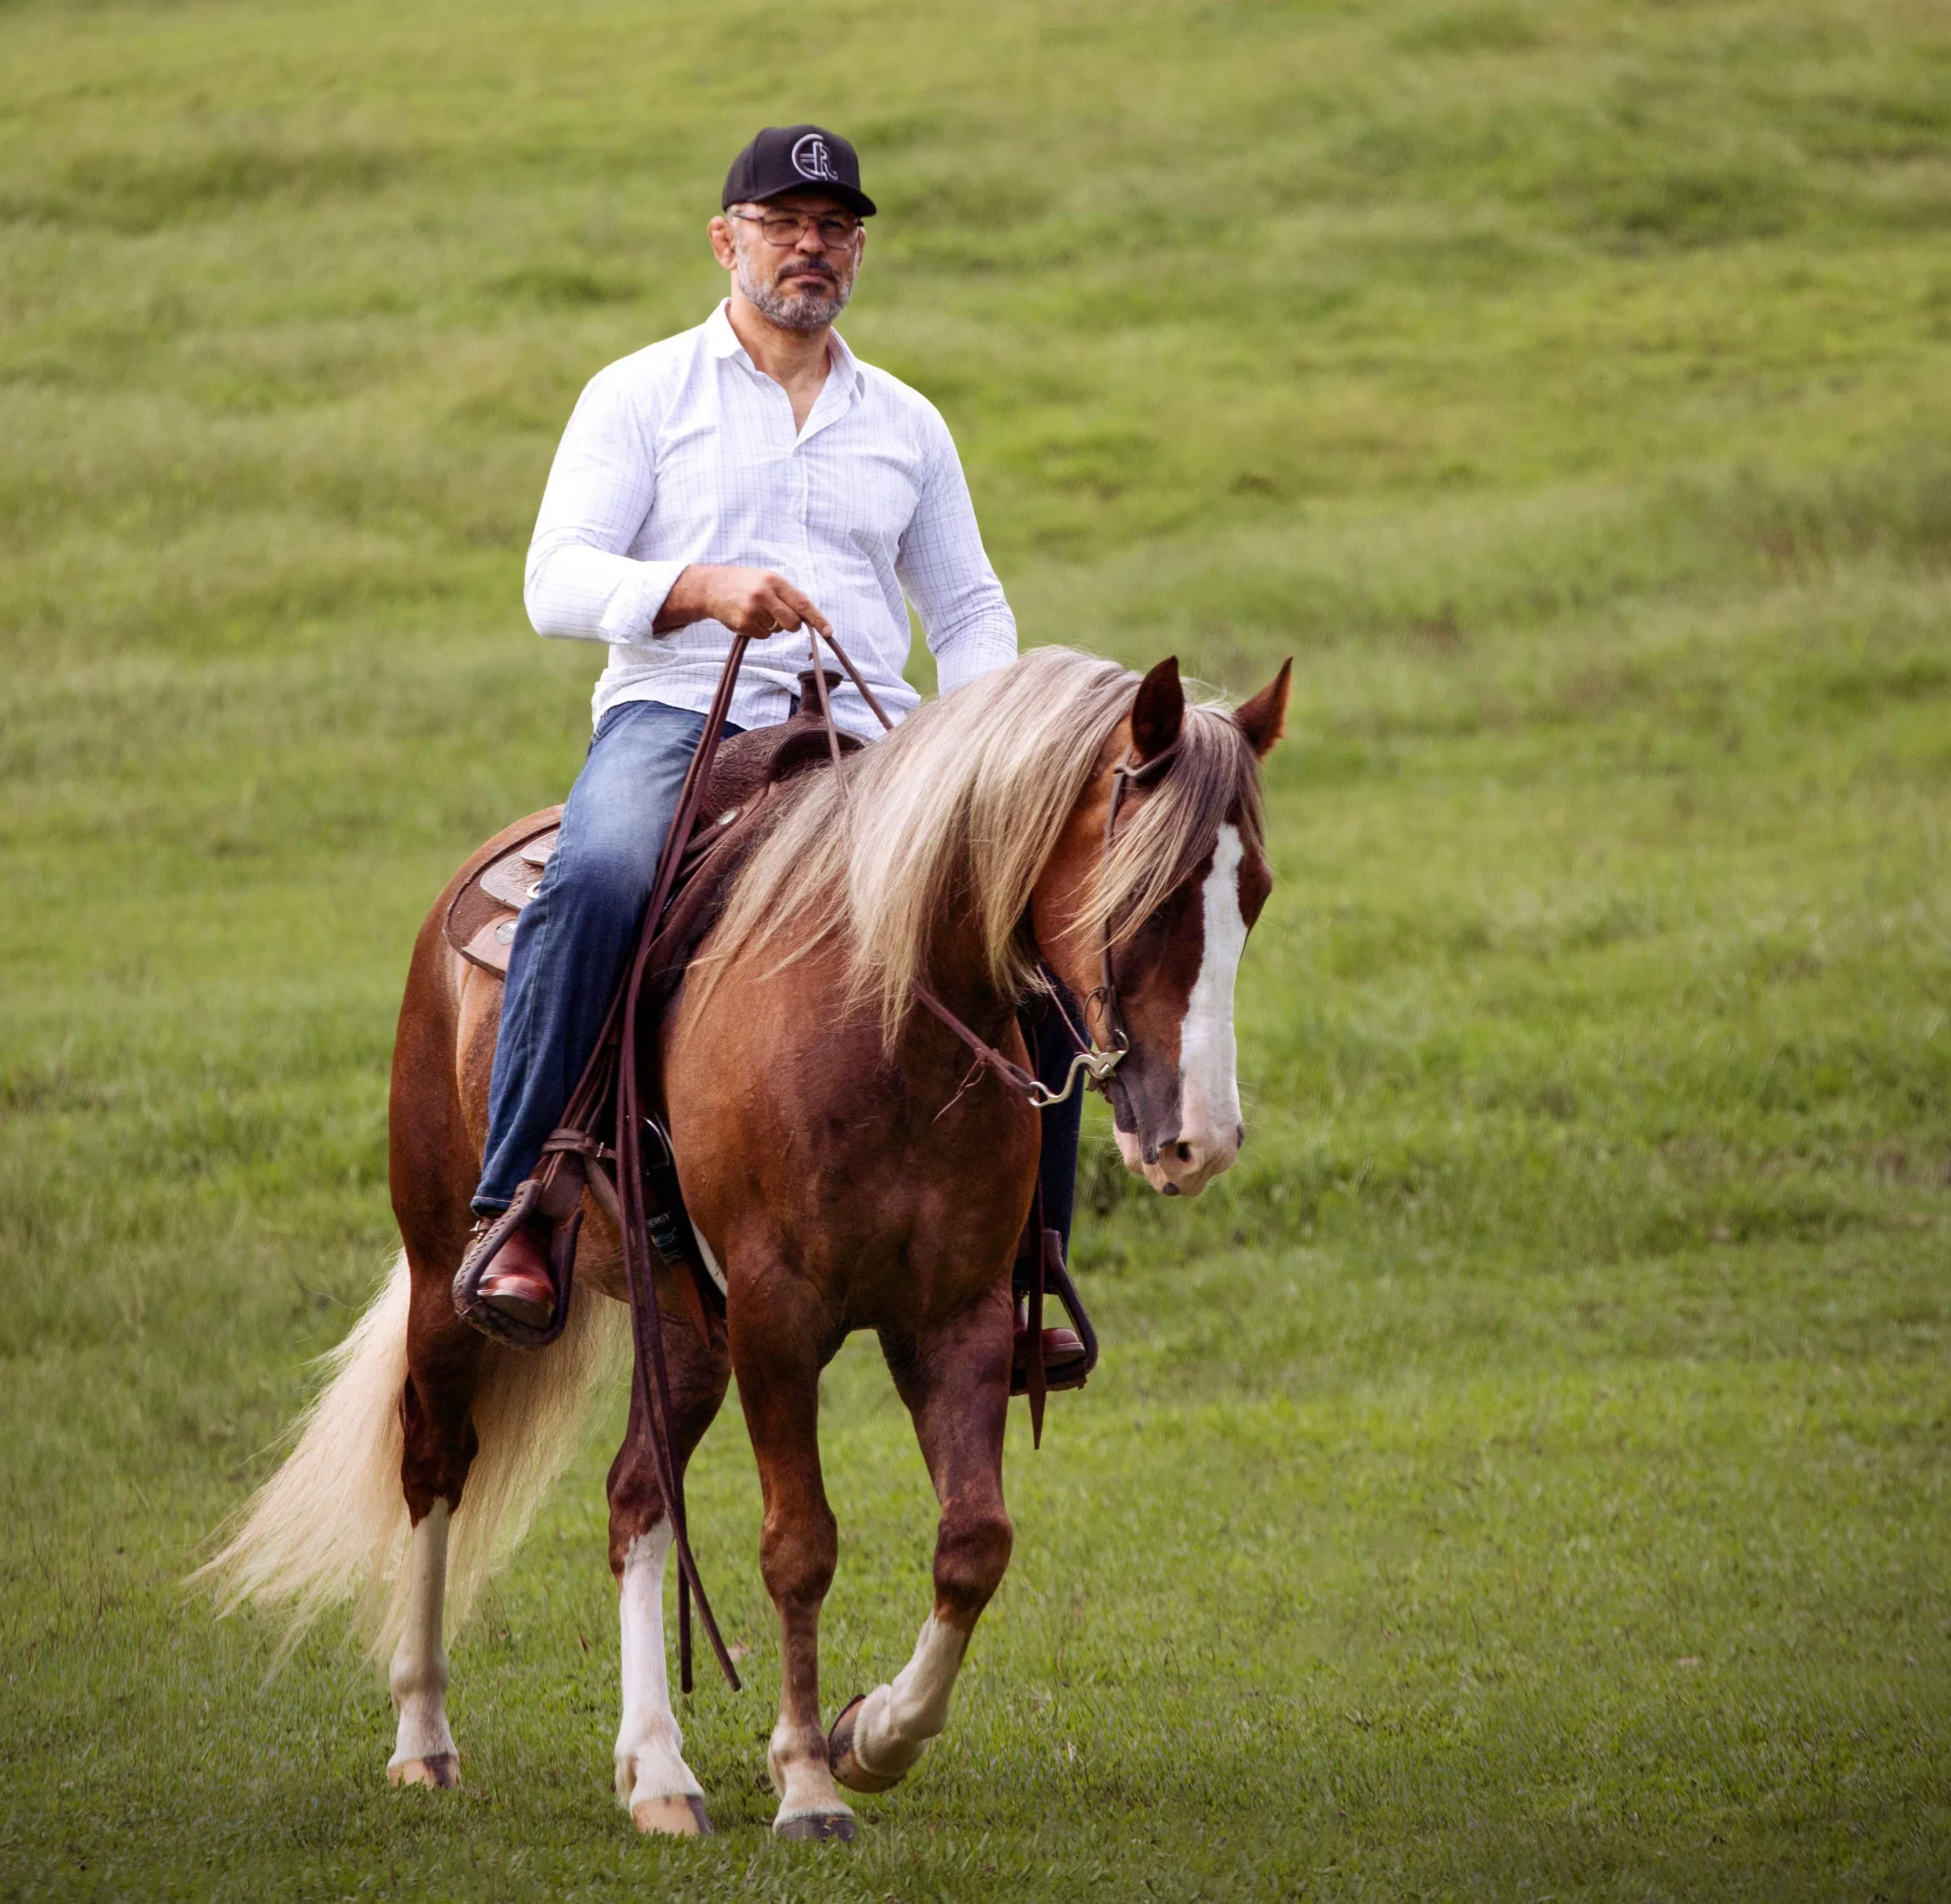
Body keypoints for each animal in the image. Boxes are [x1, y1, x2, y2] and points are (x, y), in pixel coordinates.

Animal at [201, 644, 1289, 1840]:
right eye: (1140, 894)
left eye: (1254, 896)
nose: (1200, 1139)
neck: (881, 1018)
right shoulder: (779, 1317)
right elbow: (798, 1544)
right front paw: (808, 1781)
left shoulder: (953, 1316)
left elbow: (974, 1542)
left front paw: (872, 1734)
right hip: (452, 1276)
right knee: (435, 1460)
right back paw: (424, 1736)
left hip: (682, 1322)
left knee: (636, 1496)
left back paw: (658, 1770)